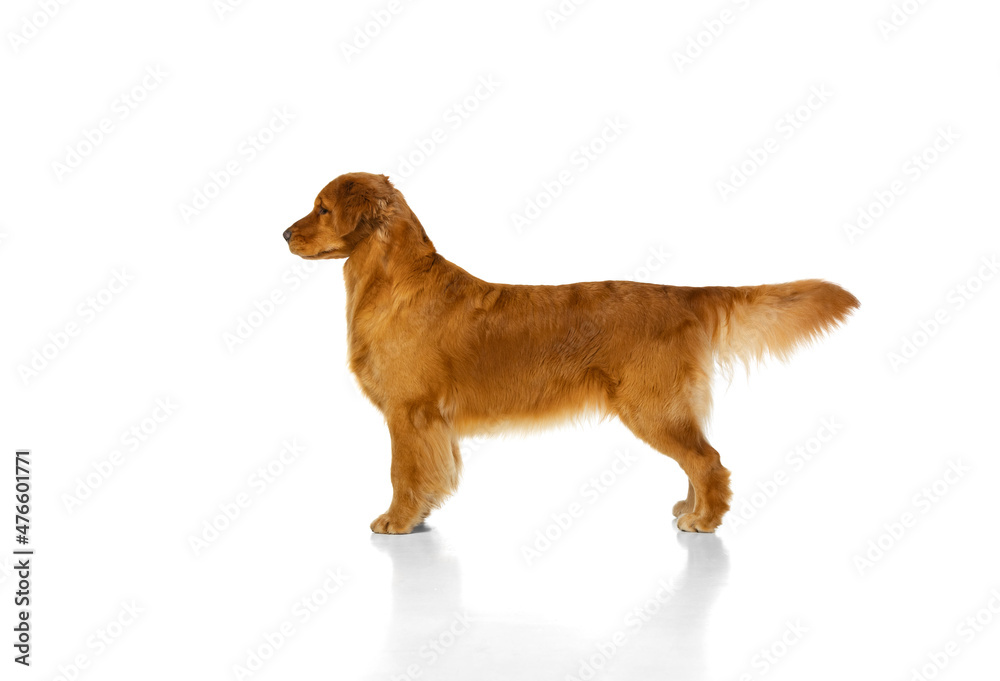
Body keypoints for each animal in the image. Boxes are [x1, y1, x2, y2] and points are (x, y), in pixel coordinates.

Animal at [282, 170, 860, 532]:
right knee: (698, 461)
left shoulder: (410, 412)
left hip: (651, 407)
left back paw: (703, 521)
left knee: (709, 461)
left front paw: (397, 521)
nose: (284, 232)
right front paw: (420, 516)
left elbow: (404, 473)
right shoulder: (430, 423)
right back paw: (689, 509)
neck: (392, 280)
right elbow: (432, 473)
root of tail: (682, 295)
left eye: (322, 208)